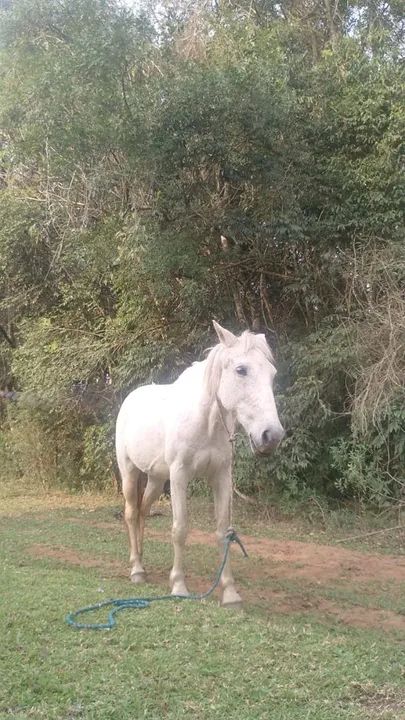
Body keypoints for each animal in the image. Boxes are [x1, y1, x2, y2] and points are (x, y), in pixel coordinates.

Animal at [115, 321, 284, 608]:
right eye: (241, 370)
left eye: (272, 375)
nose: (271, 436)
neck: (205, 422)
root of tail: (129, 399)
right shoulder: (179, 476)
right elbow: (180, 529)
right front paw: (178, 586)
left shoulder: (221, 477)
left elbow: (223, 532)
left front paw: (230, 593)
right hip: (129, 471)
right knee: (130, 512)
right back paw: (136, 569)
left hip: (156, 479)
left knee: (142, 512)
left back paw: (141, 561)